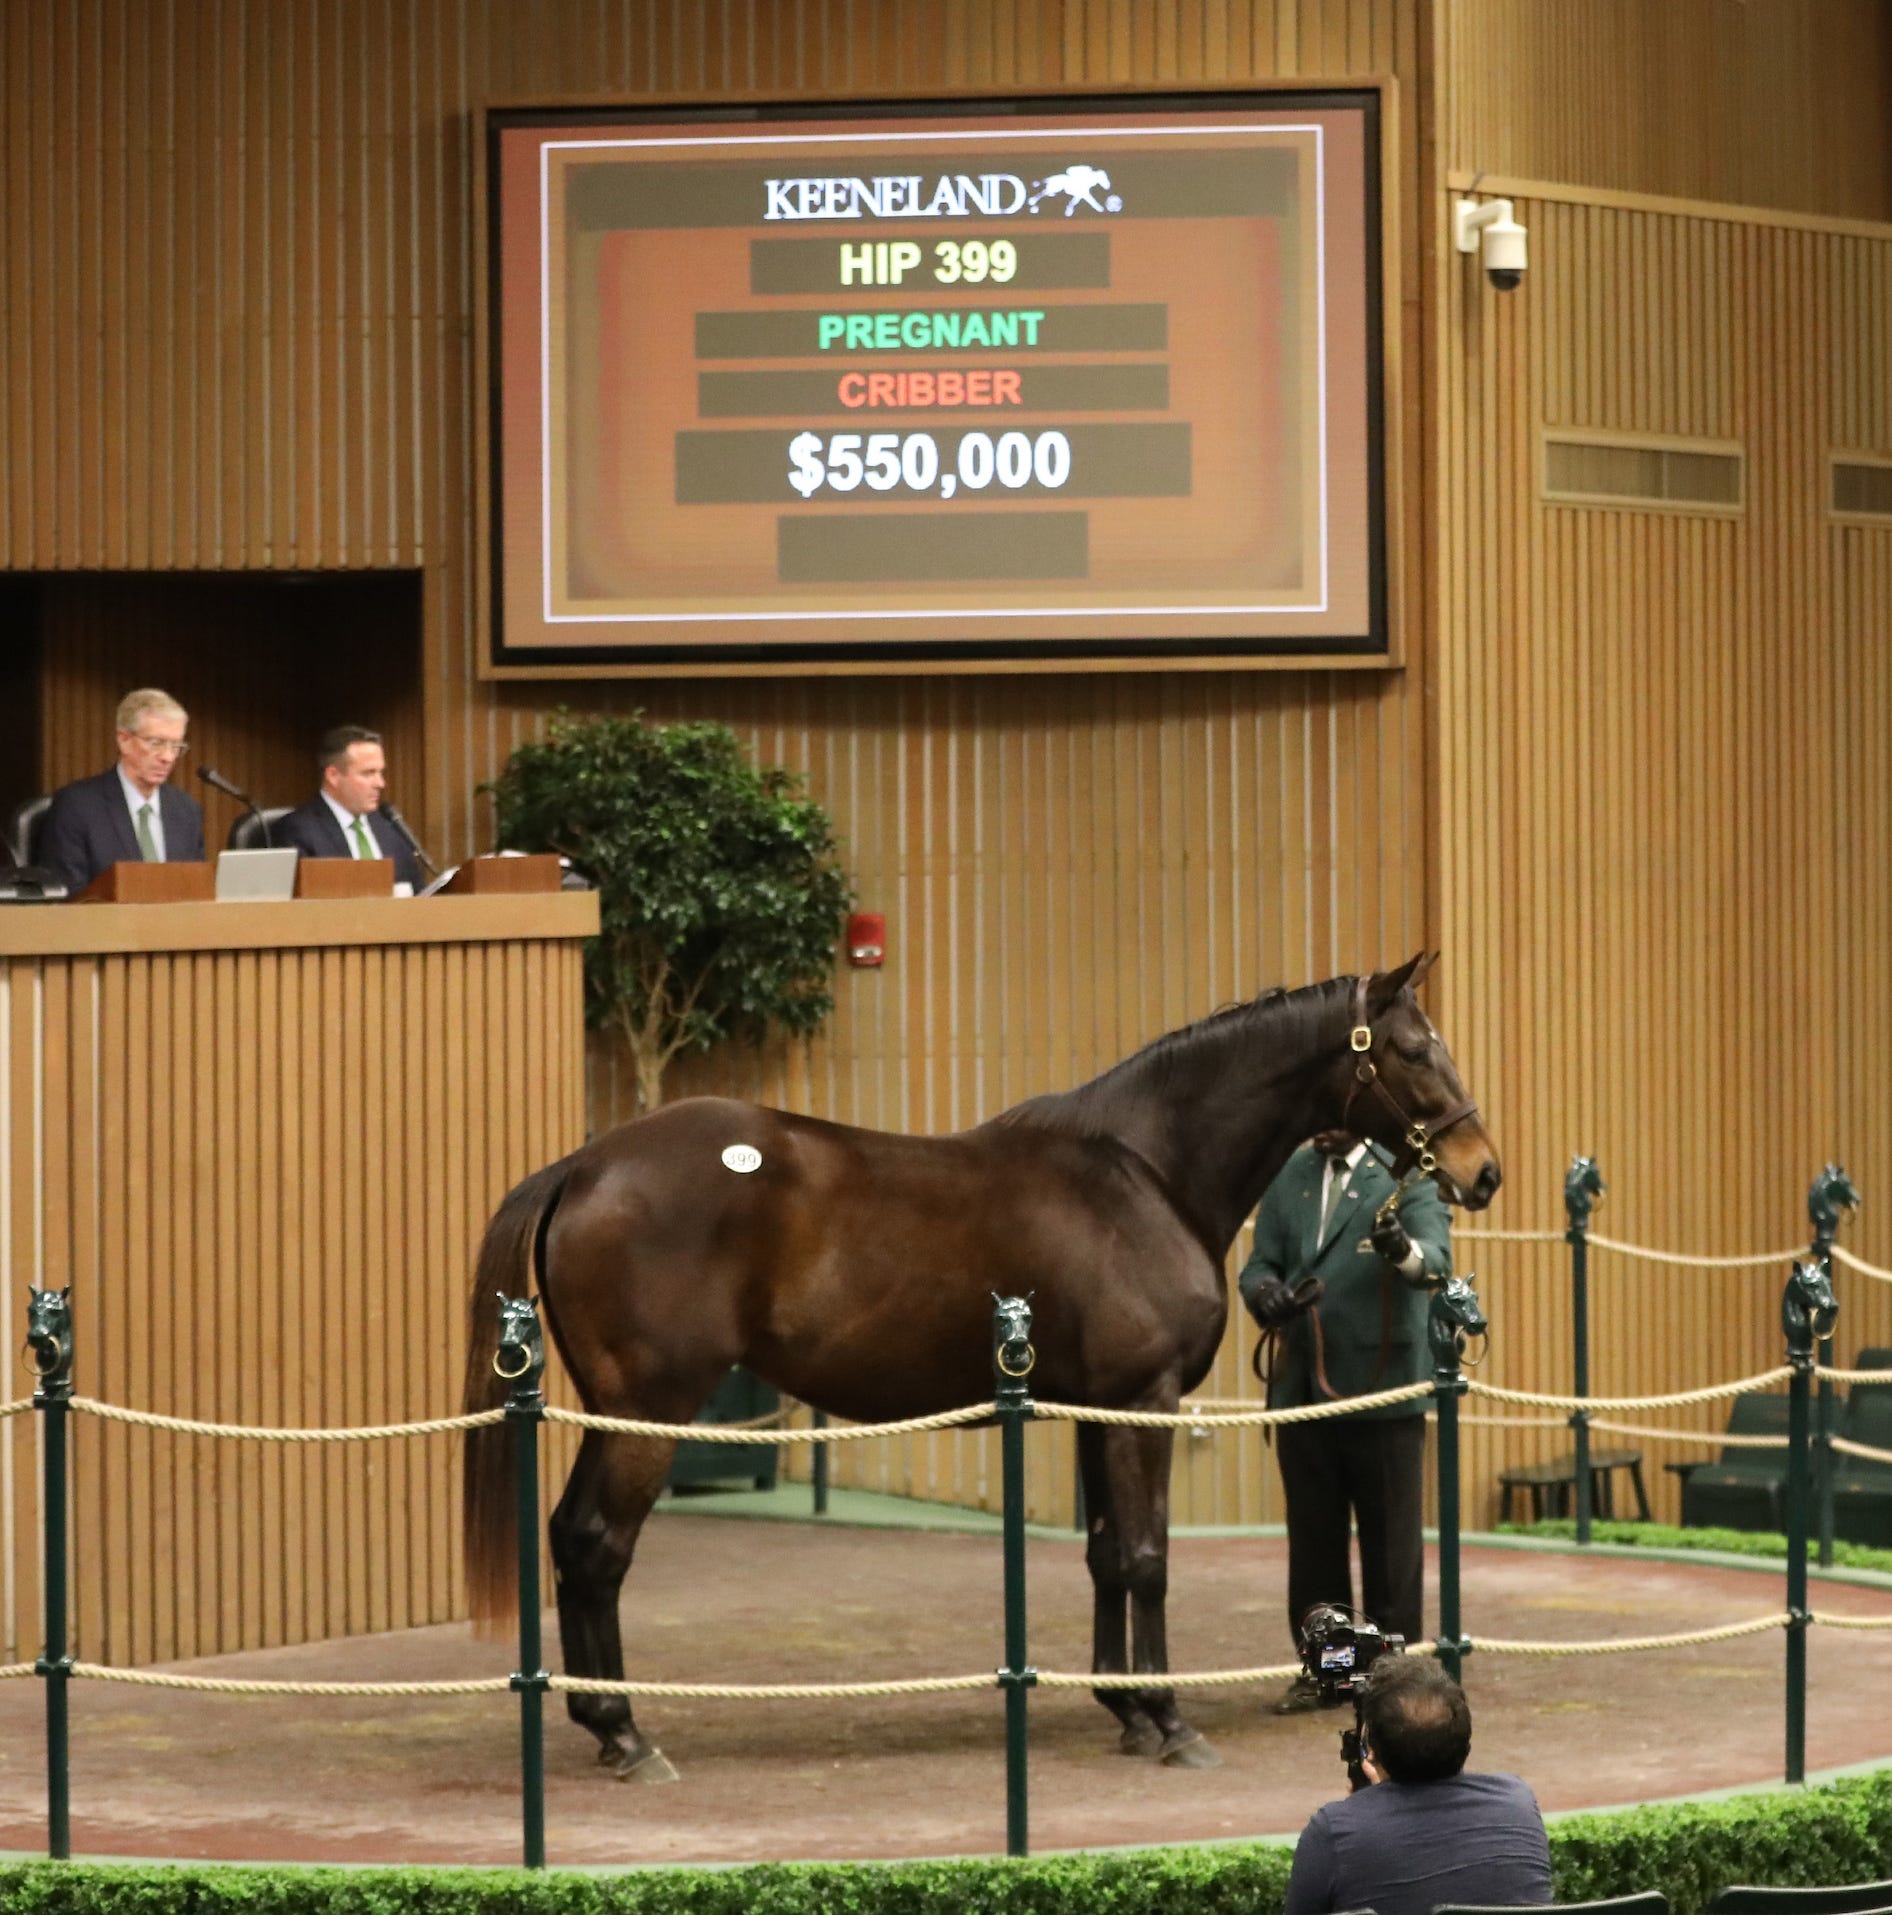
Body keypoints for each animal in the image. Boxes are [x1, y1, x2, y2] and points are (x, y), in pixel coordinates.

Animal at [457, 953, 1493, 1777]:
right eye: (1411, 1047)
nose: (1483, 1169)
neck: (1143, 1171)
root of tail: (585, 1165)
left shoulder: (1095, 1408)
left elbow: (1106, 1553)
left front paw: (1123, 1708)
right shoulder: (1145, 1400)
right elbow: (1148, 1555)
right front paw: (1167, 1717)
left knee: (571, 1537)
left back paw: (601, 1720)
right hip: (648, 1410)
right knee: (598, 1544)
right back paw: (626, 1733)